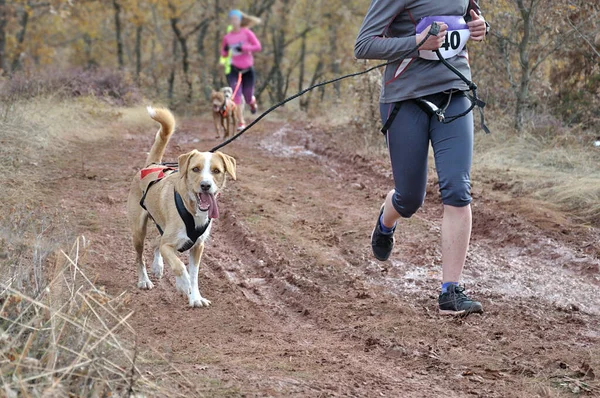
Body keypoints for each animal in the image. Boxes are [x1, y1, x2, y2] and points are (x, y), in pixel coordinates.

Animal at [127, 105, 237, 308]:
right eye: (195, 169)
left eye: (216, 171)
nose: (205, 185)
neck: (192, 210)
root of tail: (152, 164)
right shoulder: (168, 245)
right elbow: (179, 266)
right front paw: (183, 285)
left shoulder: (198, 246)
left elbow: (194, 274)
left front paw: (195, 297)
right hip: (138, 230)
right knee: (140, 256)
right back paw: (144, 280)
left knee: (156, 242)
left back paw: (158, 266)